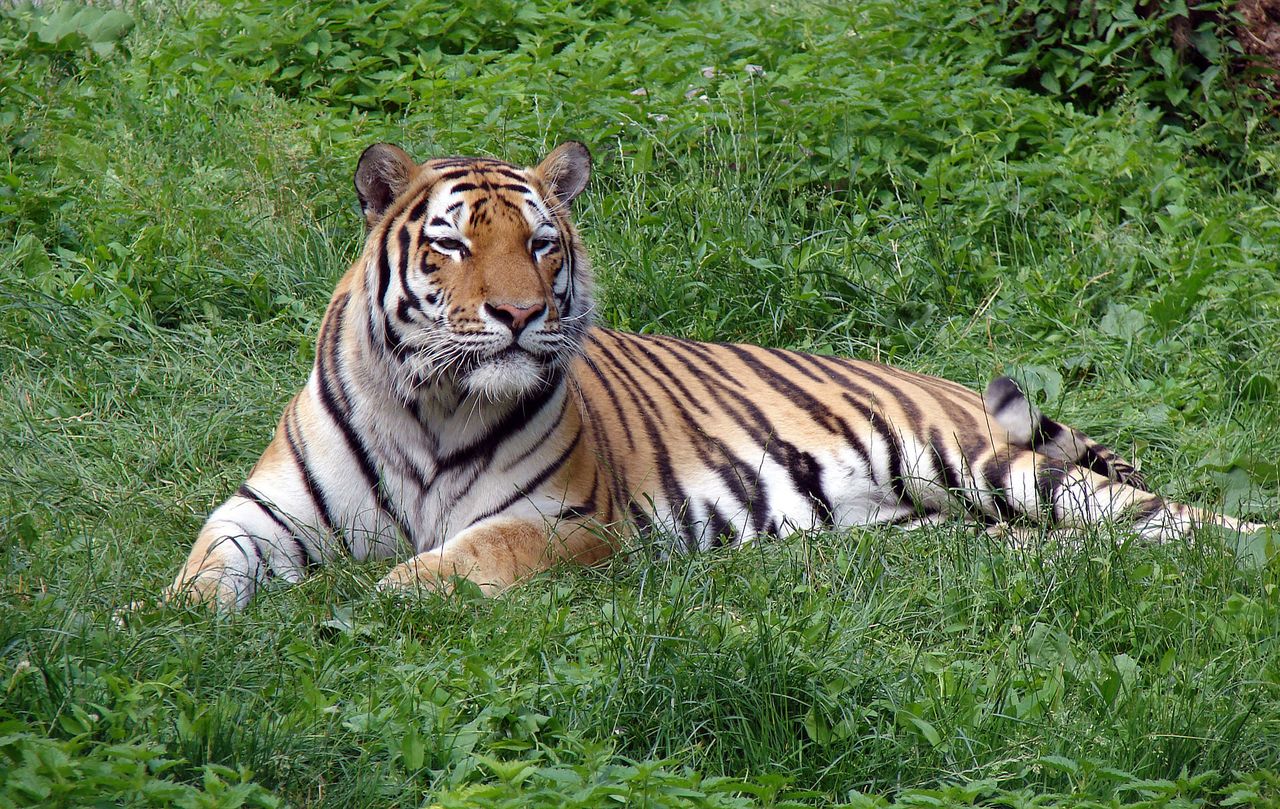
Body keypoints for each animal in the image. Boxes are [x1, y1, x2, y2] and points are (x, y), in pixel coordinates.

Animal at [167, 140, 1259, 606]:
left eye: (541, 244)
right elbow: (206, 564)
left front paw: (386, 592)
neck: (433, 405)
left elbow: (465, 557)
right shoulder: (262, 510)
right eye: (451, 243)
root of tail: (938, 381)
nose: (519, 314)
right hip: (947, 532)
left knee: (1173, 517)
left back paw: (1250, 550)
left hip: (992, 463)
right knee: (1077, 547)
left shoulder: (566, 519)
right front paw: (175, 620)